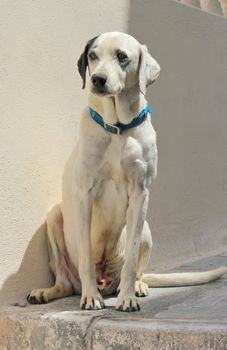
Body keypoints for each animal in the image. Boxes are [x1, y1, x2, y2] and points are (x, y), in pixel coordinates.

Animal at [27, 32, 227, 312]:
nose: (98, 79)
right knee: (65, 283)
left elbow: (131, 261)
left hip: (146, 228)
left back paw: (136, 287)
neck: (117, 129)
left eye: (122, 56)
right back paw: (47, 292)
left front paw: (128, 297)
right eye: (93, 55)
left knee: (137, 271)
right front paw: (91, 297)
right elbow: (86, 258)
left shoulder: (140, 194)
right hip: (55, 217)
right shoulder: (84, 195)